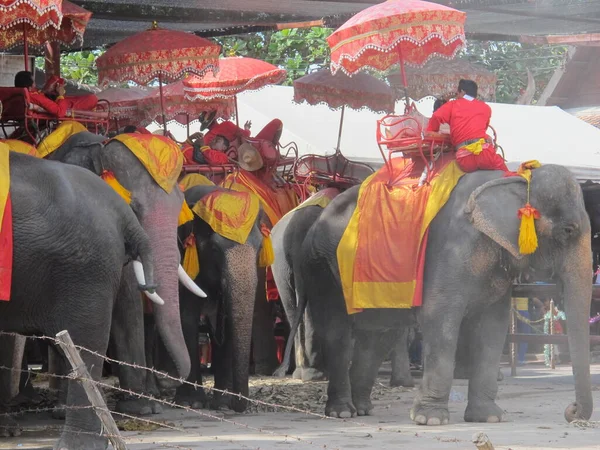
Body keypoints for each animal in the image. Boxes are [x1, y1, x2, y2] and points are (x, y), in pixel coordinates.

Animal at [282, 163, 592, 424]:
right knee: (339, 333)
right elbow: (440, 319)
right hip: (322, 265)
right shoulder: (450, 249)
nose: (571, 412)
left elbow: (493, 327)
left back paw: (363, 409)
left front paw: (488, 418)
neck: (511, 179)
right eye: (568, 230)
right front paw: (430, 420)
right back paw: (342, 412)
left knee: (378, 335)